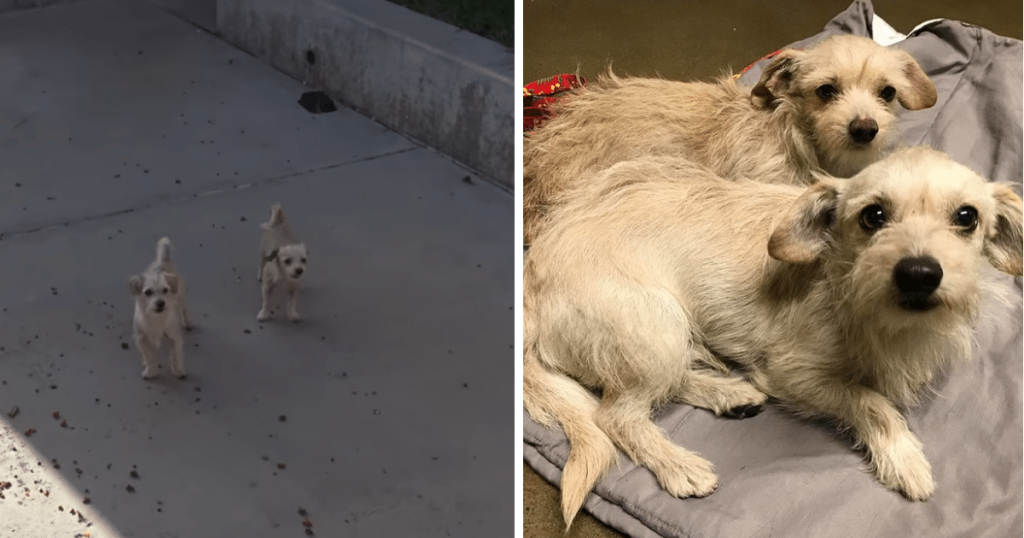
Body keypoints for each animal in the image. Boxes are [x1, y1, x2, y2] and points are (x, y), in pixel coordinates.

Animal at [128, 236, 192, 379]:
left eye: (165, 290)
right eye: (148, 292)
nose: (161, 303)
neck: (157, 318)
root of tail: (161, 261)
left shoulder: (175, 338)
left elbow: (176, 355)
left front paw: (178, 370)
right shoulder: (142, 339)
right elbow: (149, 357)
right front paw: (151, 370)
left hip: (181, 295)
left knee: (185, 308)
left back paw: (188, 322)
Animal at [528, 147, 1024, 528]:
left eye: (967, 217)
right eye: (873, 216)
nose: (919, 274)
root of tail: (532, 278)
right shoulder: (791, 372)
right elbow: (872, 401)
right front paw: (905, 459)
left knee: (663, 385)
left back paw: (728, 394)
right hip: (653, 322)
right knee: (615, 415)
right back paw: (681, 466)